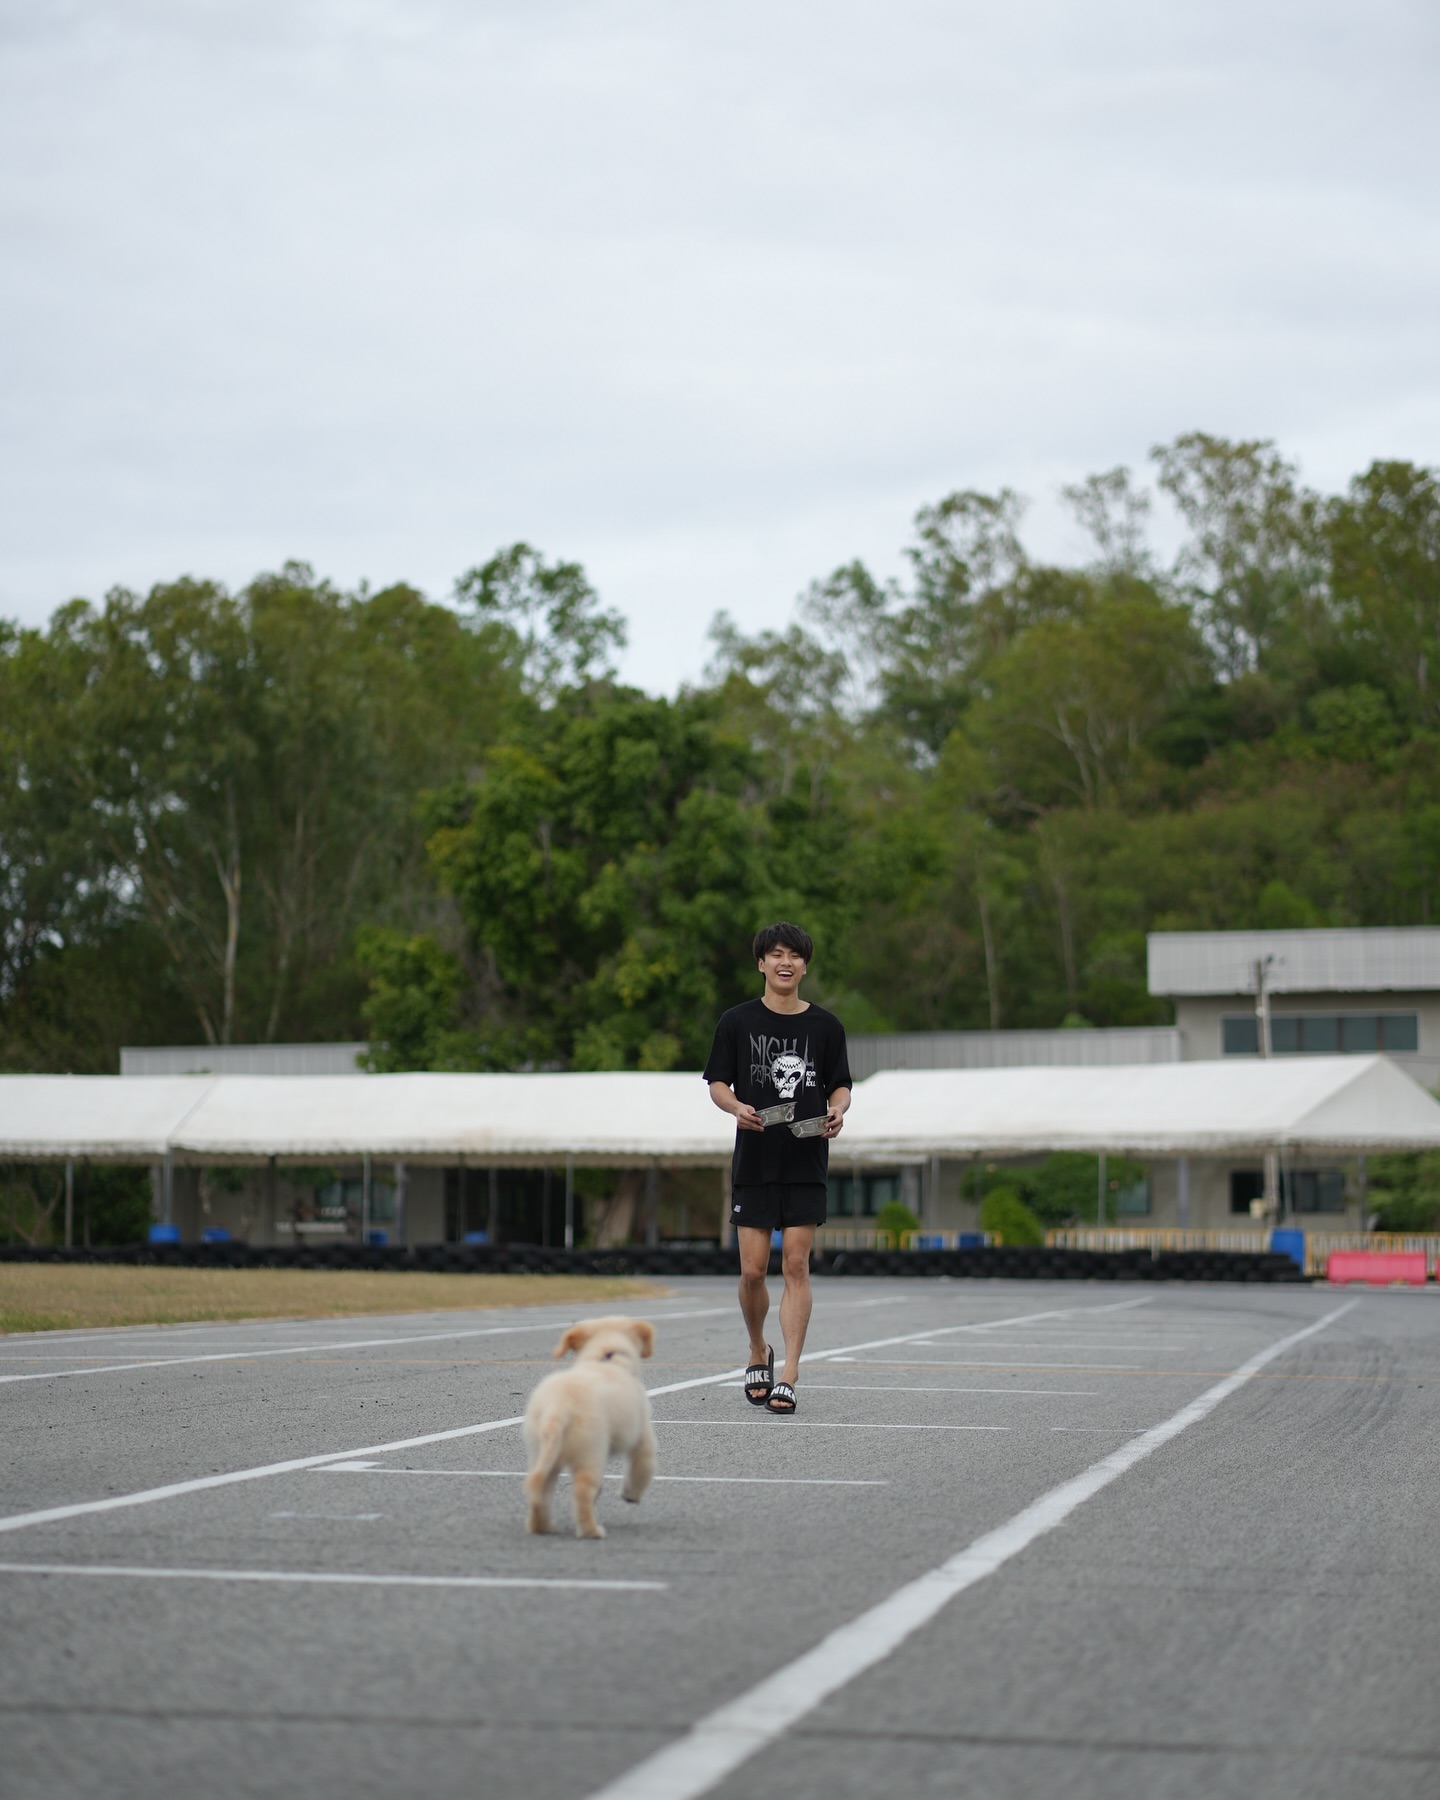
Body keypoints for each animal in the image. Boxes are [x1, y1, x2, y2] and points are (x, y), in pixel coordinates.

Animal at [522, 1317, 658, 1540]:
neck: (605, 1355)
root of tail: (558, 1408)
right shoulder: (641, 1436)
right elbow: (642, 1467)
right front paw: (631, 1495)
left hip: (541, 1451)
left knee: (540, 1489)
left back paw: (542, 1526)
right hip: (590, 1450)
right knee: (582, 1491)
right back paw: (592, 1531)